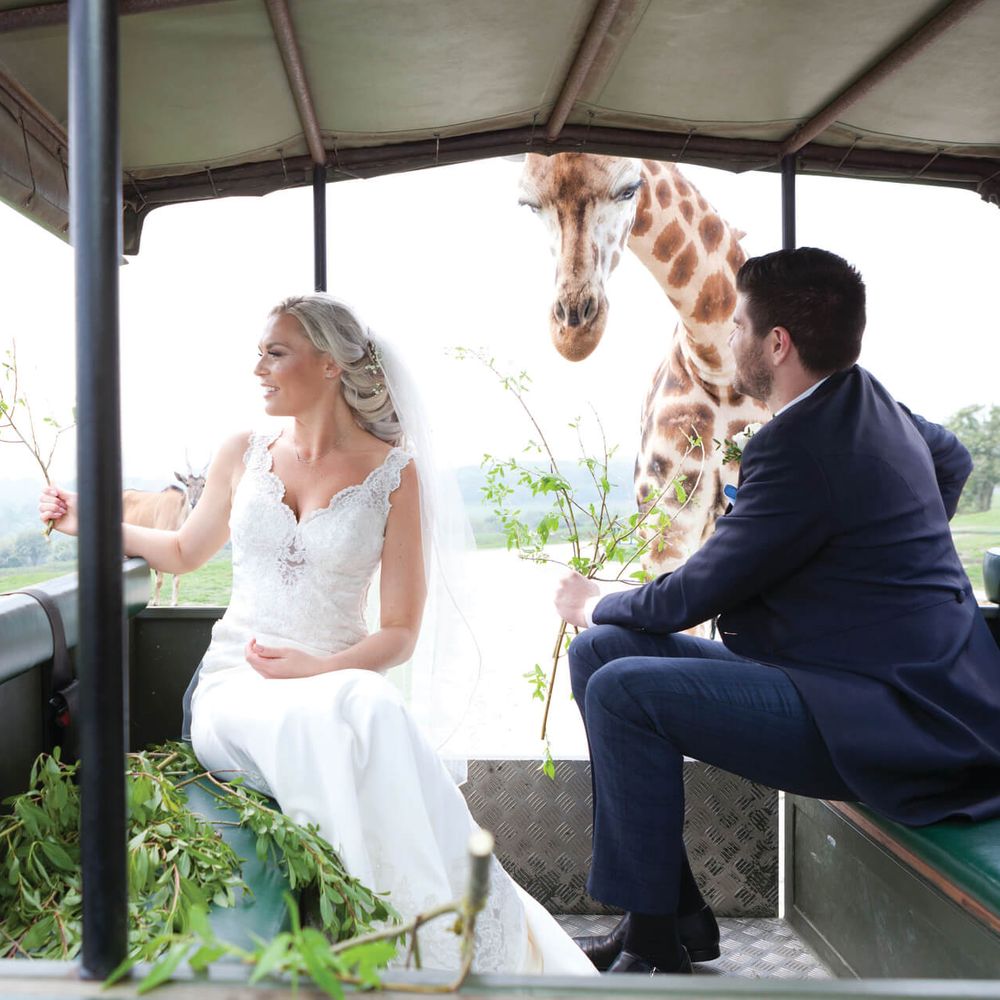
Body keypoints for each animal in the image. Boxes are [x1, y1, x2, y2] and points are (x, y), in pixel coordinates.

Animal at [123, 466, 205, 600]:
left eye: (203, 484)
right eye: (187, 484)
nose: (194, 503)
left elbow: (176, 580)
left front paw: (174, 602)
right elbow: (159, 580)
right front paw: (155, 602)